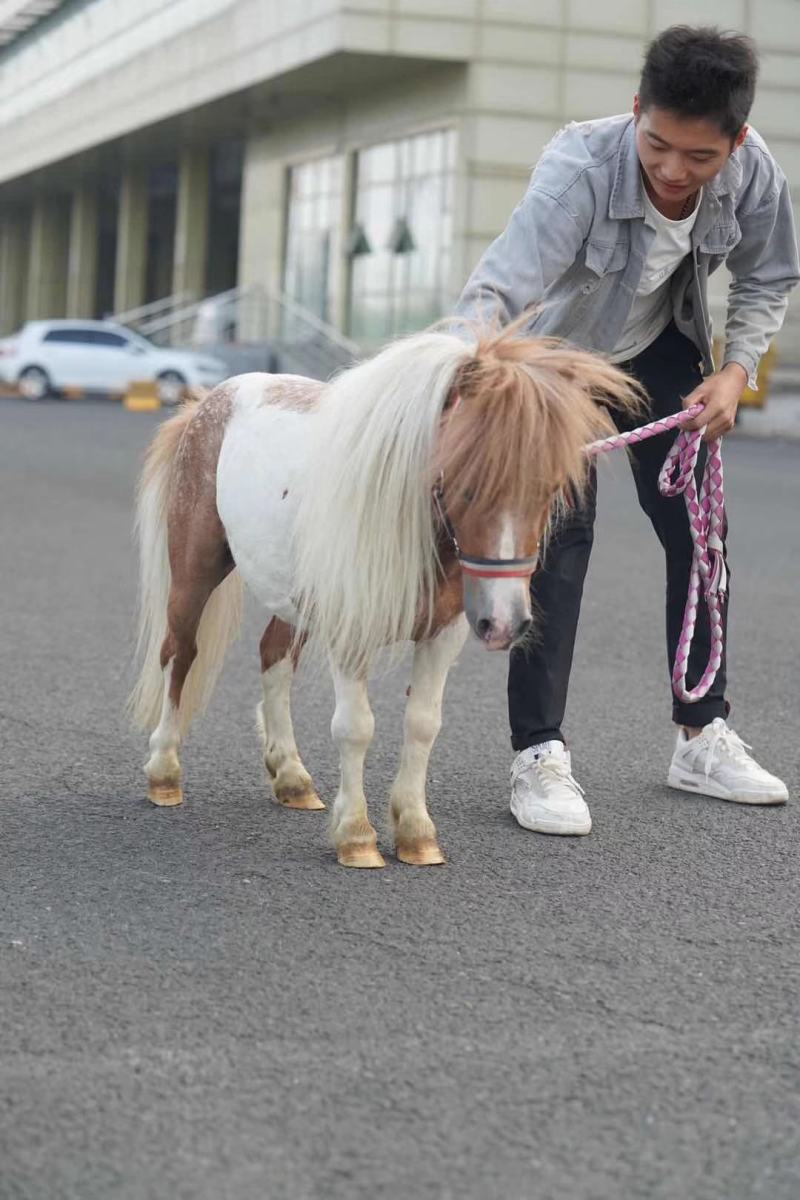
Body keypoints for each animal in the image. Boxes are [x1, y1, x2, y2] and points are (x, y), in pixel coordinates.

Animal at [130, 327, 639, 868]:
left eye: (548, 488)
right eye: (465, 478)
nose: (505, 623)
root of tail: (210, 400)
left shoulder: (442, 635)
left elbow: (422, 725)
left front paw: (416, 832)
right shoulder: (352, 633)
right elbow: (356, 728)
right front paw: (357, 835)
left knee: (274, 657)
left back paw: (291, 777)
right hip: (195, 573)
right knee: (179, 654)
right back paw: (164, 771)